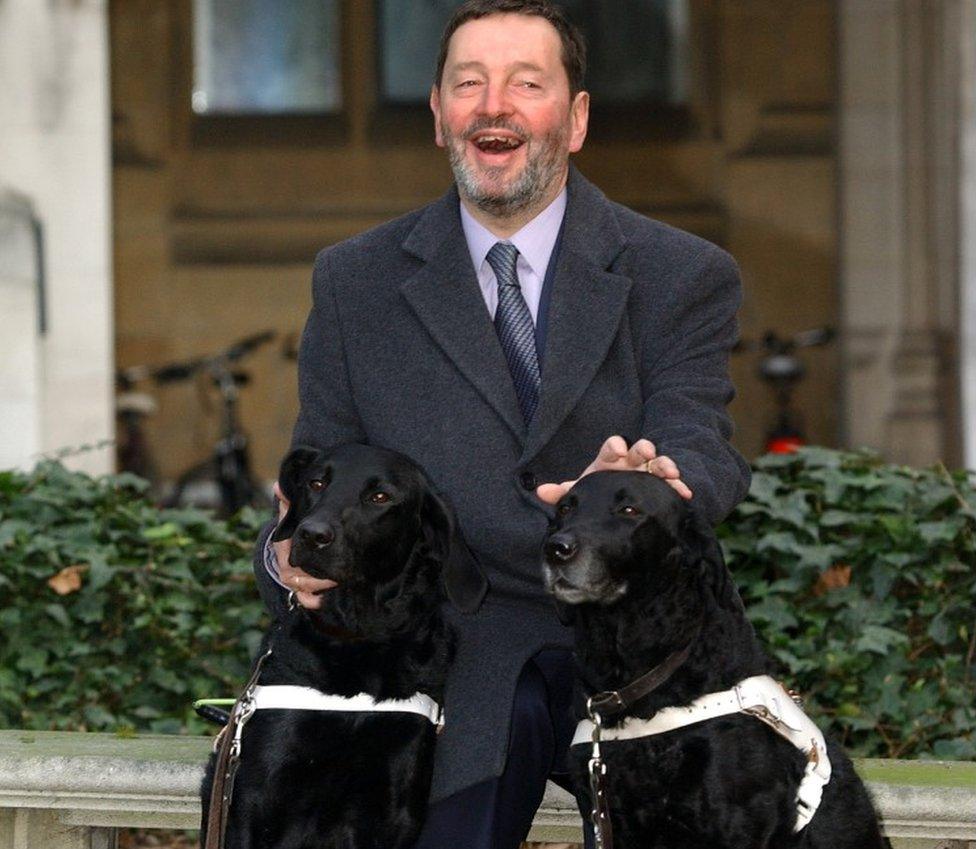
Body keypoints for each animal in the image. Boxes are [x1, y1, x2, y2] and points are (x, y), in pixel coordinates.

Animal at [199, 444, 488, 848]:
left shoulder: (395, 811)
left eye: (380, 497)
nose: (311, 535)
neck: (359, 638)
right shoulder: (251, 802)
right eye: (316, 483)